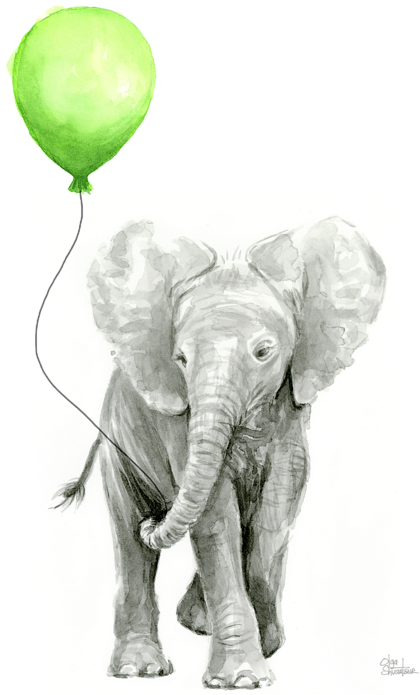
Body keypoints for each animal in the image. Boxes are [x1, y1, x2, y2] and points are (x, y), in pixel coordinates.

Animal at [53, 214, 387, 689]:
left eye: (264, 352)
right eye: (181, 359)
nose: (158, 521)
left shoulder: (290, 399)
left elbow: (279, 500)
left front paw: (266, 644)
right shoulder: (180, 417)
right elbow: (215, 514)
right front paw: (242, 679)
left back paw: (196, 620)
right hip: (120, 442)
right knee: (130, 536)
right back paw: (141, 670)